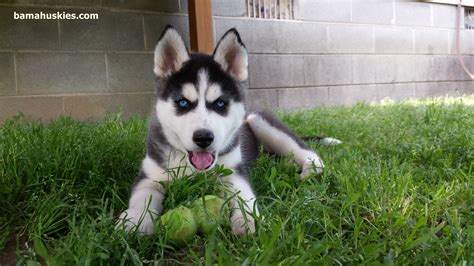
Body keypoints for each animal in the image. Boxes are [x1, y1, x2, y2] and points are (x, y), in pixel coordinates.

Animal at [116, 26, 336, 236]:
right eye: (183, 102)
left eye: (220, 103)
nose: (203, 138)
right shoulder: (150, 175)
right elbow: (143, 197)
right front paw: (135, 221)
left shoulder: (233, 172)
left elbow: (245, 196)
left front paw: (249, 220)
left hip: (259, 121)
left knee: (308, 153)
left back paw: (307, 169)